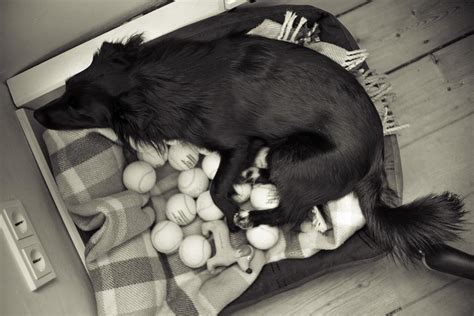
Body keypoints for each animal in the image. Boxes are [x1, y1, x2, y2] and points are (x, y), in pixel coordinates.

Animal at [35, 35, 464, 262]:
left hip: (293, 157)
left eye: (77, 110)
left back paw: (252, 217)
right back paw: (257, 176)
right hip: (280, 152)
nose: (37, 115)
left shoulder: (237, 143)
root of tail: (375, 160)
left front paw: (229, 212)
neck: (155, 79)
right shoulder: (249, 145)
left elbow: (214, 188)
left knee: (291, 211)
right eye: (67, 86)